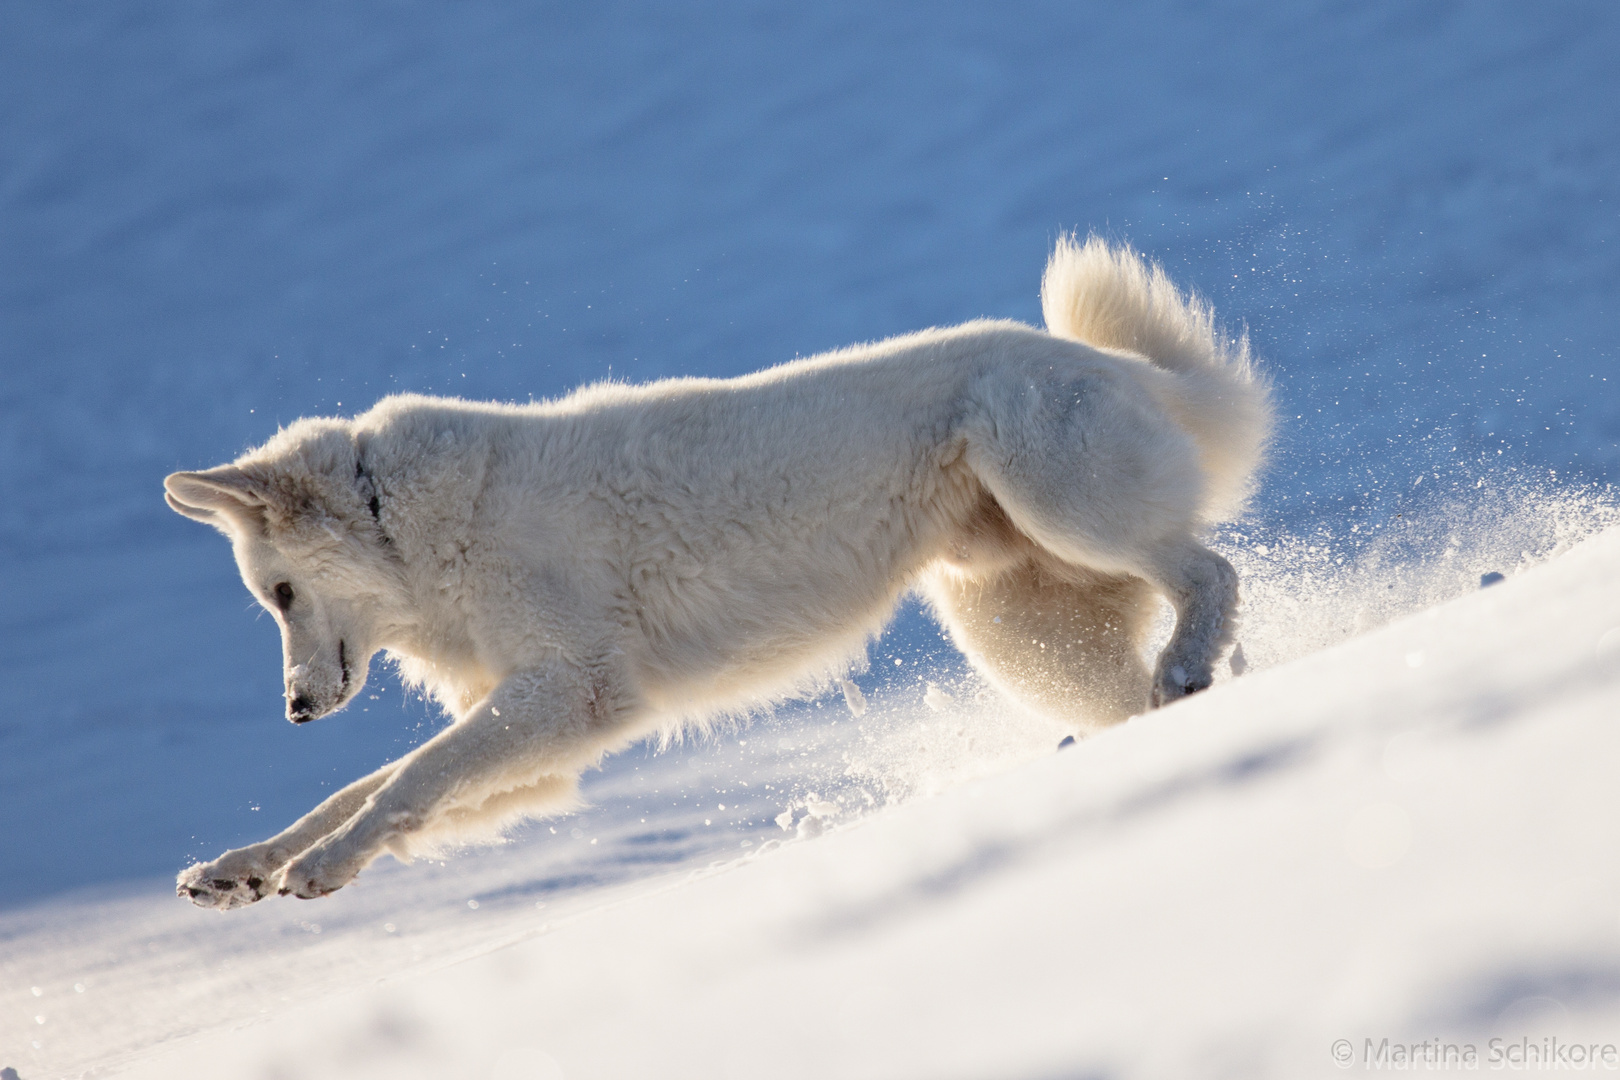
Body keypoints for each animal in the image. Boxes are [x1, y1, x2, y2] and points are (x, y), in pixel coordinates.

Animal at [167, 241, 1276, 906]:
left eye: (280, 593)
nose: (295, 710)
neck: (405, 528)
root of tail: (1126, 368)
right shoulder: (541, 727)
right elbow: (371, 789)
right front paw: (245, 870)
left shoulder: (573, 693)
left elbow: (405, 781)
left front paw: (316, 868)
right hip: (1022, 633)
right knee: (1157, 669)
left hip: (1059, 506)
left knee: (1210, 571)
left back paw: (1189, 669)